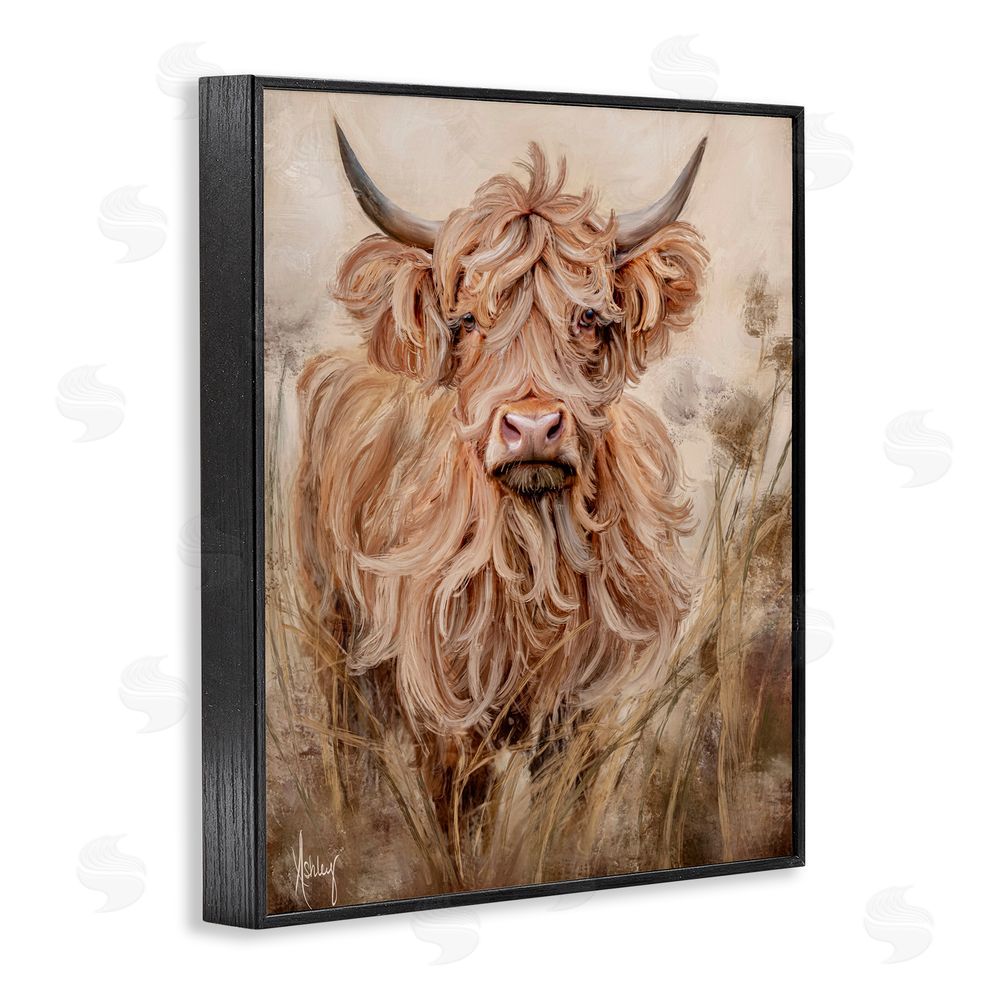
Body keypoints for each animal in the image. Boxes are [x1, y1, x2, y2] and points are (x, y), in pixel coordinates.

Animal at [295, 122, 709, 813]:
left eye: (589, 317)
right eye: (465, 320)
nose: (533, 427)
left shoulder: (579, 713)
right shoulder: (447, 718)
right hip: (330, 629)